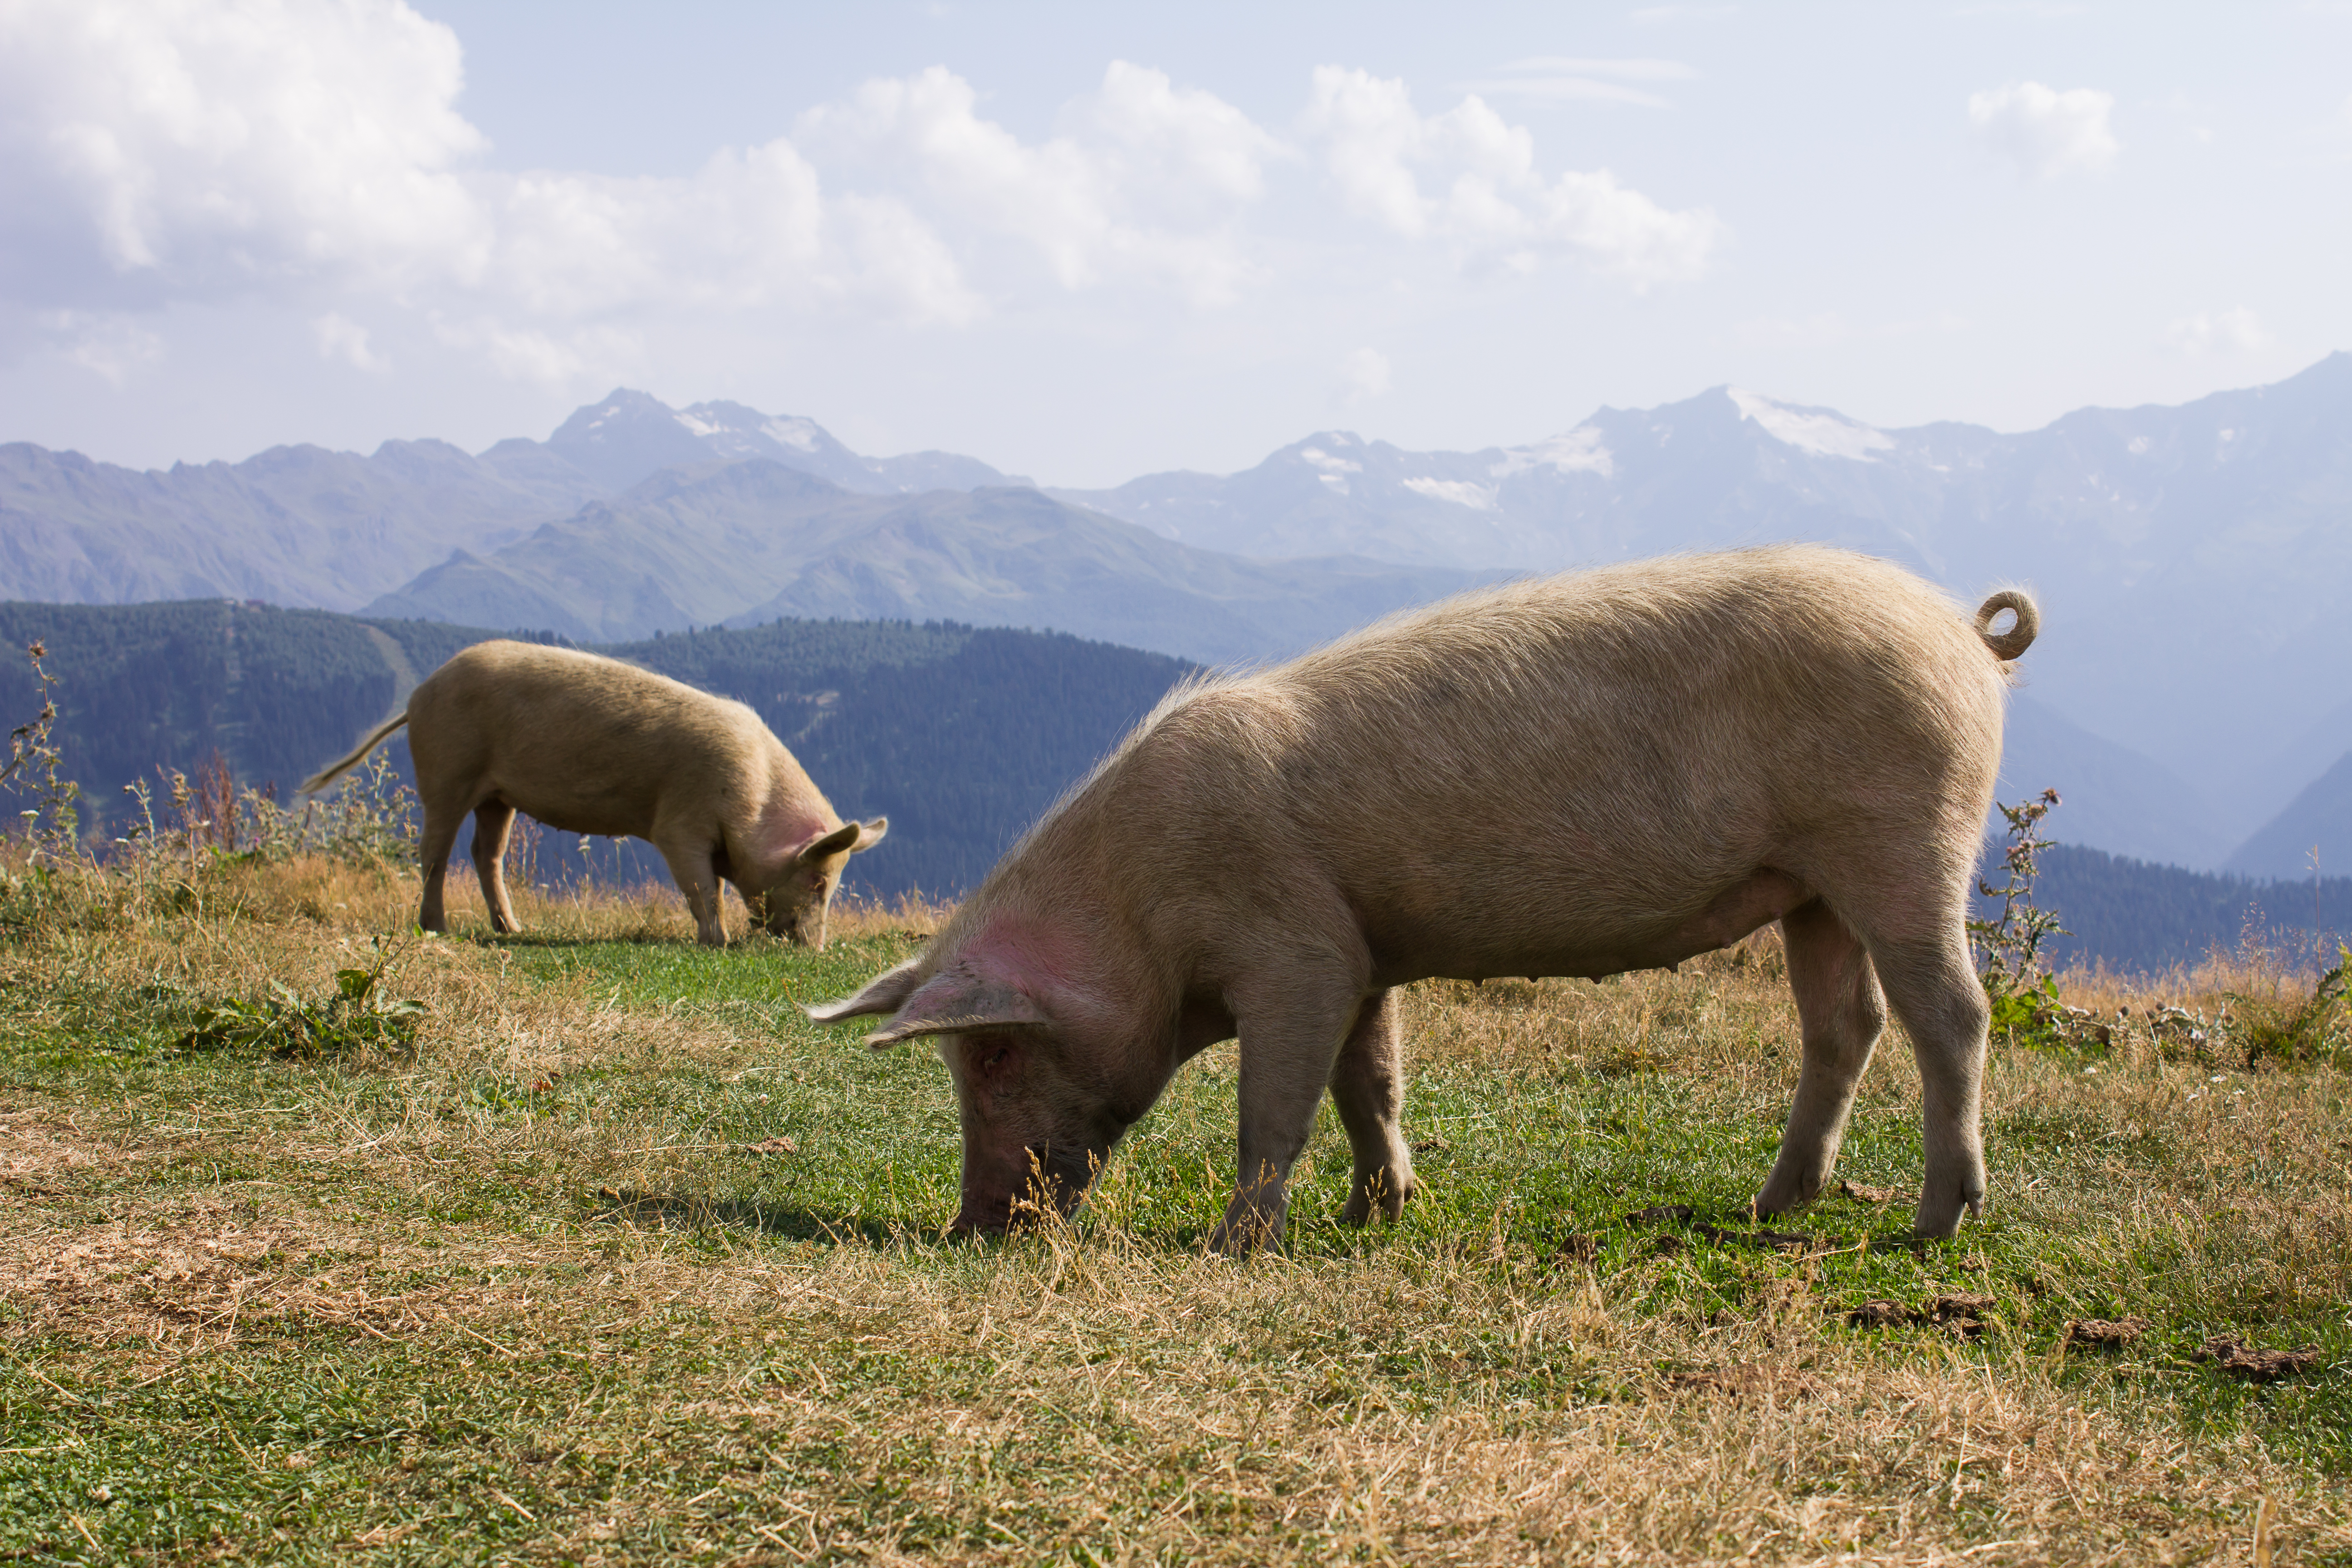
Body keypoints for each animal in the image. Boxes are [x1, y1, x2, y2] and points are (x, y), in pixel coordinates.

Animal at [294, 644, 884, 950]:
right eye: (818, 882)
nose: (815, 949)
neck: (755, 804)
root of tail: (418, 694)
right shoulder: (680, 823)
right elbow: (703, 887)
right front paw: (715, 942)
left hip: (498, 794)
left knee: (487, 853)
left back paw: (514, 930)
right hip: (446, 769)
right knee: (433, 851)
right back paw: (437, 928)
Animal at [813, 550, 2041, 1250]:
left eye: (993, 1053)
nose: (973, 1224)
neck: (1137, 907)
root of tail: (1963, 634)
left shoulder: (1295, 949)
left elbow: (1277, 1105)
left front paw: (1235, 1244)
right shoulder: (1362, 949)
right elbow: (1372, 1084)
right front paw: (1375, 1212)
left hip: (1903, 833)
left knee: (1951, 1014)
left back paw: (1935, 1223)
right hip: (1812, 884)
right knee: (1846, 1023)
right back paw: (1770, 1207)